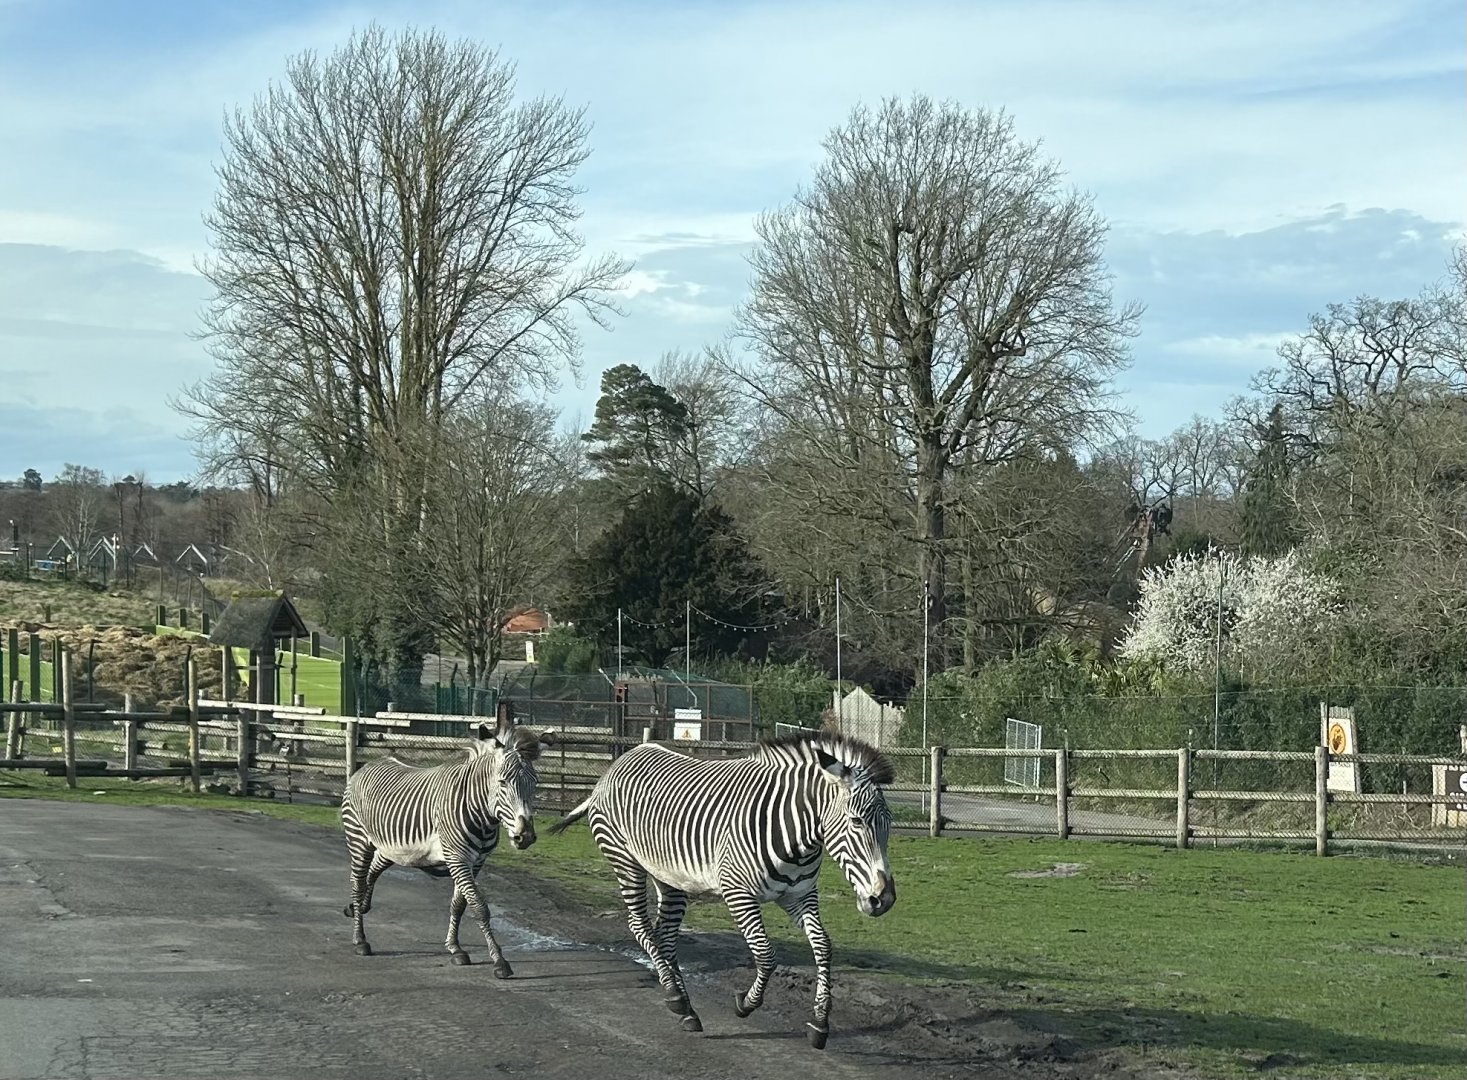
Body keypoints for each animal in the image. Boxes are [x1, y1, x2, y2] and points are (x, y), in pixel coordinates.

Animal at [339, 714, 553, 977]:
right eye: (503, 782)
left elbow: (459, 904)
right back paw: (360, 939)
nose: (526, 836)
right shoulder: (457, 858)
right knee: (358, 882)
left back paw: (358, 908)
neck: (481, 812)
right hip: (359, 840)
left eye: (535, 783)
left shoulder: (476, 862)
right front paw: (499, 960)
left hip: (393, 848)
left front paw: (455, 948)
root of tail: (368, 764)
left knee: (373, 872)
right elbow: (479, 906)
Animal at [547, 730, 896, 1049]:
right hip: (625, 860)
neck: (797, 835)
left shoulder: (800, 896)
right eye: (856, 822)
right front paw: (746, 1004)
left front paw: (820, 1023)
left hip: (670, 877)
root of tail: (622, 760)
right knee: (639, 926)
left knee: (665, 935)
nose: (885, 898)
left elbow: (823, 947)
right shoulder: (738, 893)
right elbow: (766, 955)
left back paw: (686, 1009)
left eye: (889, 823)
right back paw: (674, 996)